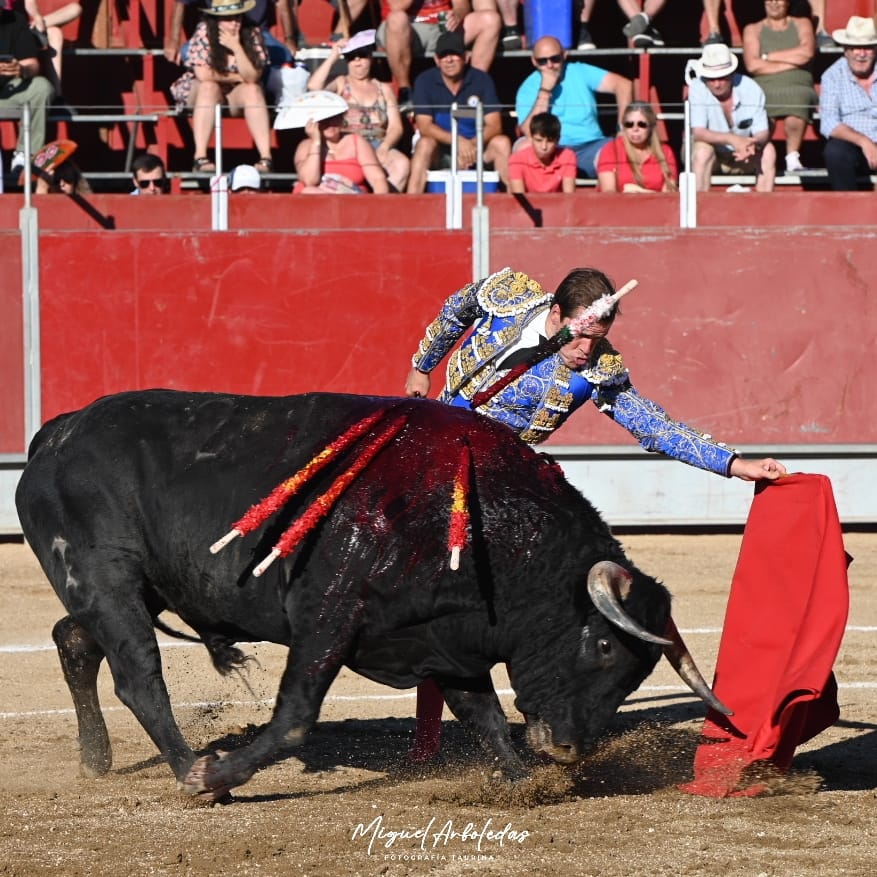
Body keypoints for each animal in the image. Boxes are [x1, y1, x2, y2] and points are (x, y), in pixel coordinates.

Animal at [15, 390, 724, 800]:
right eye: (604, 645)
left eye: (637, 673)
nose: (569, 749)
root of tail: (57, 434)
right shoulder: (328, 617)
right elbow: (295, 718)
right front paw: (221, 774)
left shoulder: (445, 640)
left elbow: (486, 715)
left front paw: (523, 781)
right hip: (107, 577)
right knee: (138, 674)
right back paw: (195, 774)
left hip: (140, 588)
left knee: (73, 638)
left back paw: (96, 759)